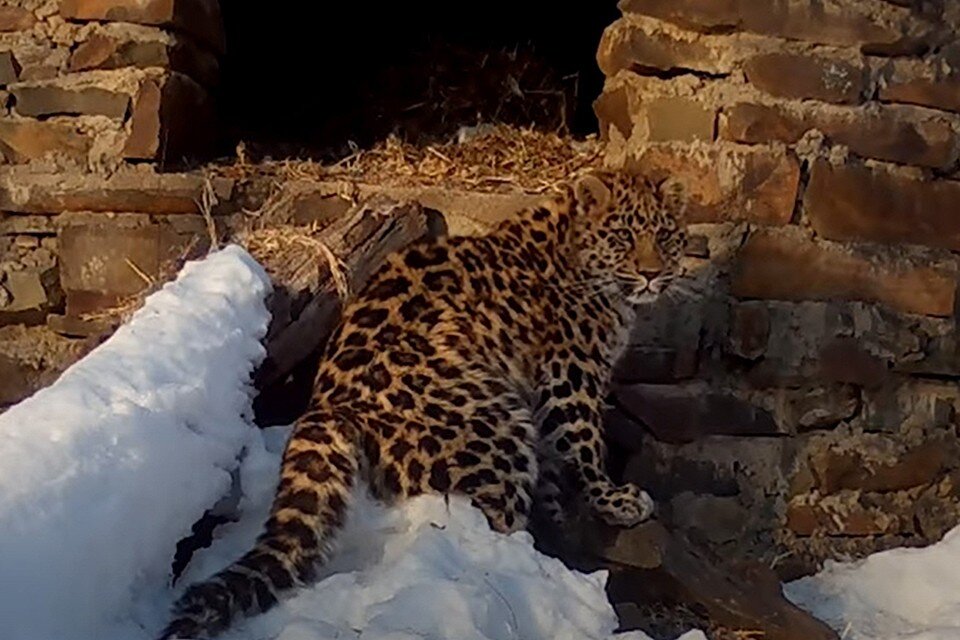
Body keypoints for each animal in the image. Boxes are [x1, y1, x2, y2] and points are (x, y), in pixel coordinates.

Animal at [161, 168, 688, 636]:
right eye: (623, 236)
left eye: (665, 236)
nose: (652, 274)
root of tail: (329, 405)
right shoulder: (569, 376)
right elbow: (584, 447)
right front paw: (617, 501)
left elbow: (559, 476)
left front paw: (563, 526)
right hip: (497, 427)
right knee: (491, 518)